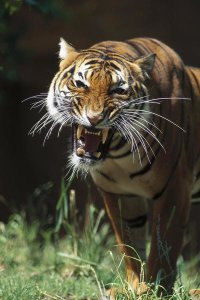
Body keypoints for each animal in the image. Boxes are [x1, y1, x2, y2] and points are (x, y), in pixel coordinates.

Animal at [42, 36, 200, 294]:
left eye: (118, 90)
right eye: (80, 84)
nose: (94, 118)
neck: (119, 155)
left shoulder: (175, 188)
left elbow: (163, 246)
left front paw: (156, 289)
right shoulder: (118, 193)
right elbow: (129, 245)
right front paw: (135, 286)